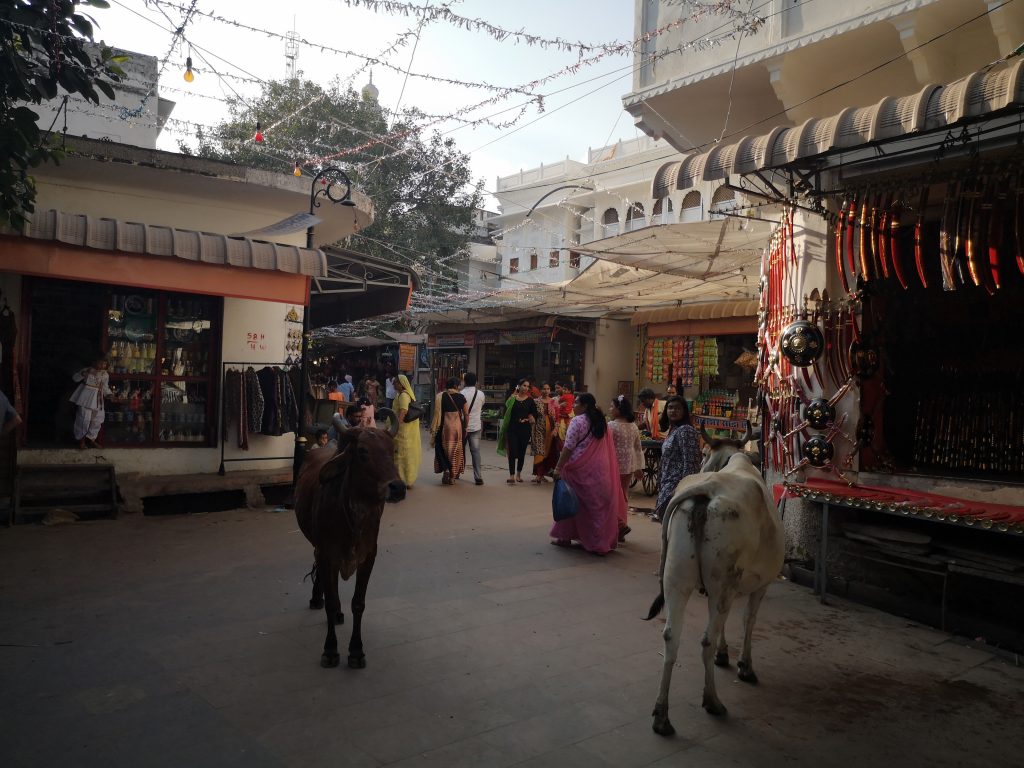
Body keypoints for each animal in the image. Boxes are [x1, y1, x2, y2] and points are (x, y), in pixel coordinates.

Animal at [292, 411, 403, 671]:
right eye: (362, 451)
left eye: (392, 449)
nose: (397, 488)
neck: (353, 515)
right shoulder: (327, 554)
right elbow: (331, 601)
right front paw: (331, 650)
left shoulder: (368, 556)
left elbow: (358, 603)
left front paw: (356, 650)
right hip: (318, 547)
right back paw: (317, 598)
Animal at [647, 436, 782, 737]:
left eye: (705, 455)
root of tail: (708, 489)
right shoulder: (760, 585)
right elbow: (747, 620)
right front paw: (745, 666)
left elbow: (726, 623)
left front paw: (725, 654)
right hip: (721, 585)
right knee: (705, 640)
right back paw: (712, 700)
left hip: (677, 579)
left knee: (670, 636)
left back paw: (662, 715)